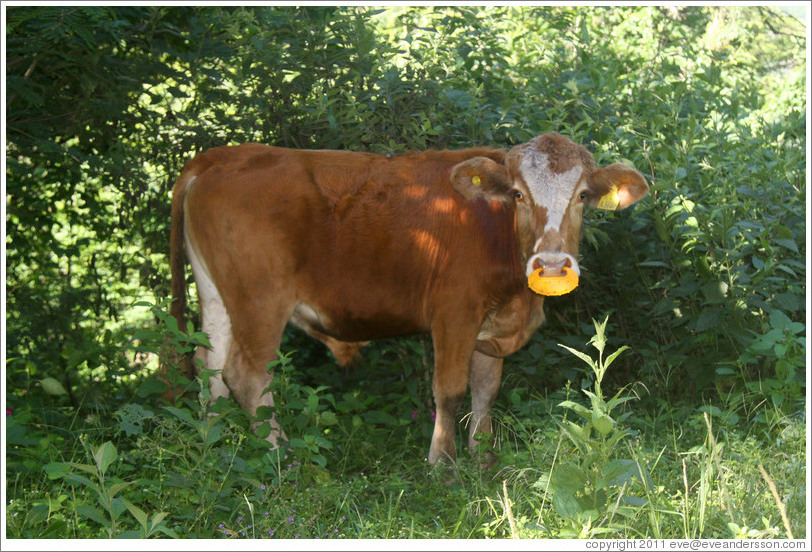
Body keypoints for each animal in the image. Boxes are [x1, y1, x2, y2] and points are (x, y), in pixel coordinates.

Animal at [168, 132, 652, 468]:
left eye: (583, 196)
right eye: (518, 194)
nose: (551, 264)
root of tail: (222, 156)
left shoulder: (490, 327)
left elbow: (485, 389)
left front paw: (483, 459)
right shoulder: (454, 314)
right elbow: (450, 389)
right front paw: (443, 464)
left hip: (216, 295)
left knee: (208, 364)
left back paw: (214, 447)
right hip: (261, 299)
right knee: (246, 375)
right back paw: (279, 458)